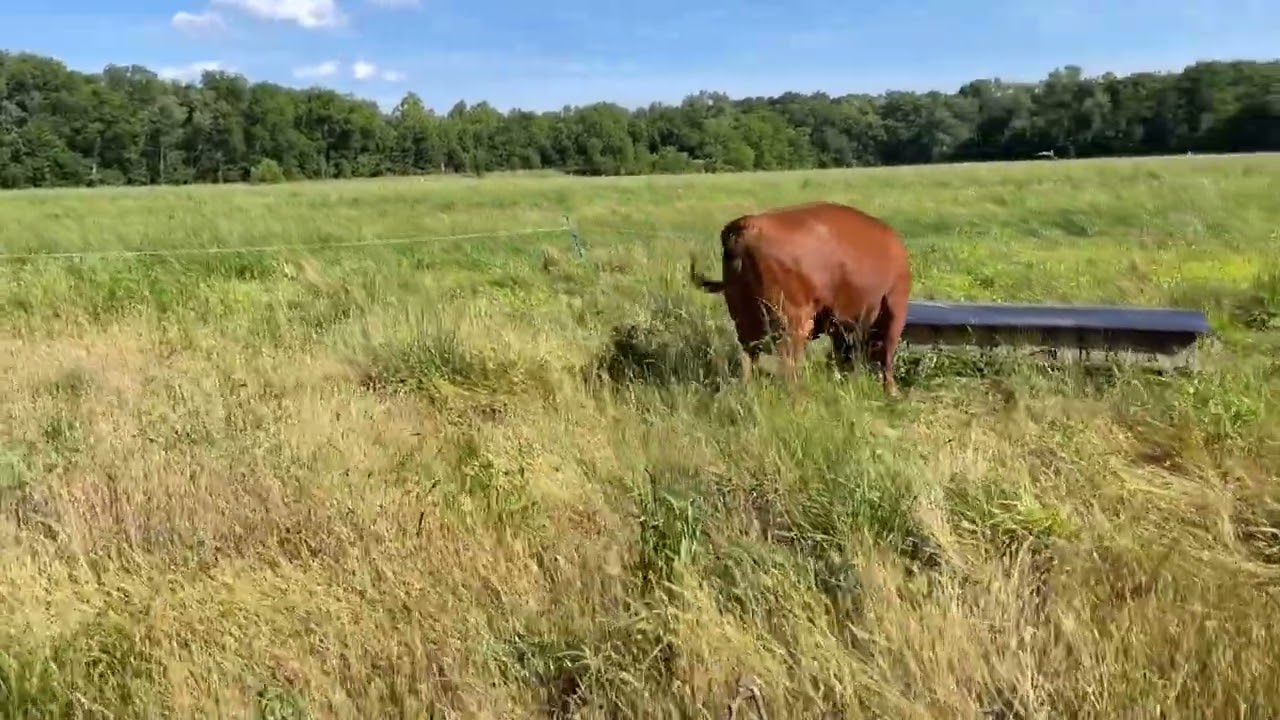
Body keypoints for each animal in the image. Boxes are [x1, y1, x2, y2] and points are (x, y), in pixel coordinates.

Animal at [689, 201, 912, 396]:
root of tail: (746, 228)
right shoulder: (894, 306)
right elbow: (887, 355)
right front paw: (892, 392)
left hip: (745, 320)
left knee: (749, 358)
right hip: (792, 325)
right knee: (788, 364)